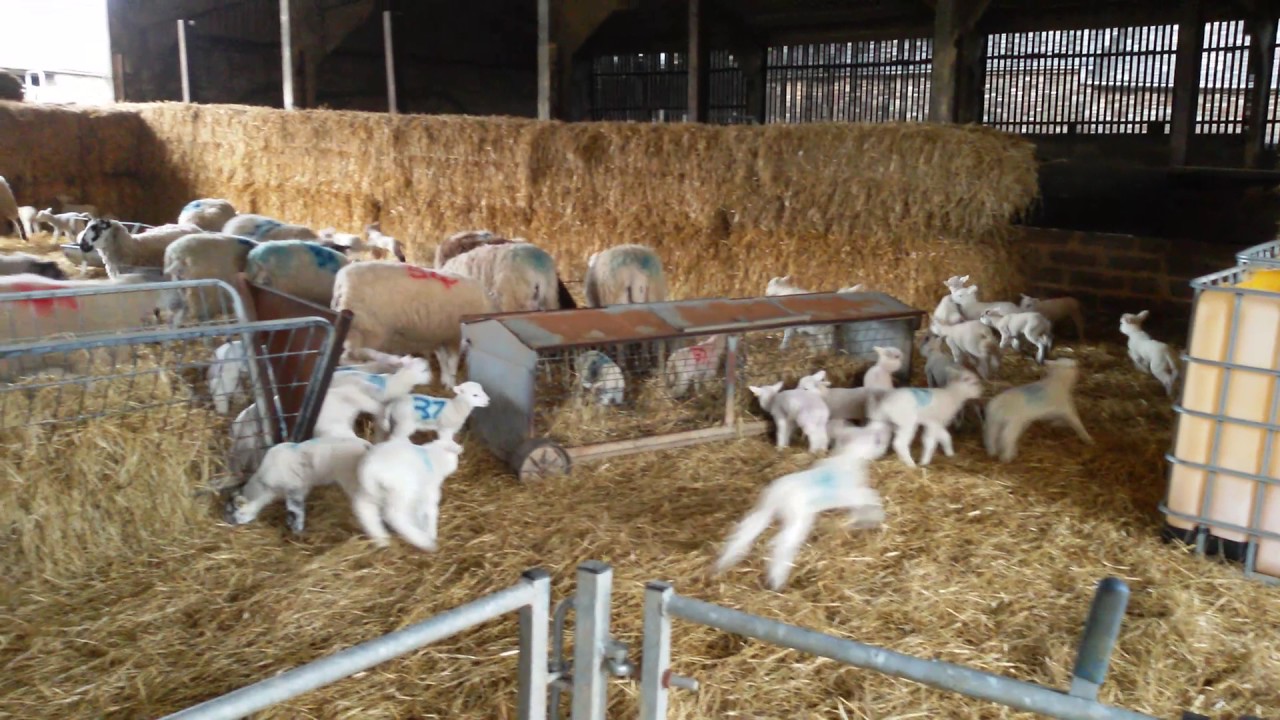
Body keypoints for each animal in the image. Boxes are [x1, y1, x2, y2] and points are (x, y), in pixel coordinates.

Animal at [224, 436, 373, 534]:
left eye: (236, 512)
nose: (228, 522)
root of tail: (367, 445)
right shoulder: (302, 486)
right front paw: (291, 522)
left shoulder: (294, 488)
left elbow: (295, 508)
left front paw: (297, 529)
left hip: (351, 479)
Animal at [331, 261, 496, 388]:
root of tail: (342, 283)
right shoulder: (454, 335)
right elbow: (452, 360)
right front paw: (451, 383)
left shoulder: (439, 334)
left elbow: (443, 359)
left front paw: (445, 379)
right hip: (368, 331)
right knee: (350, 357)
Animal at [712, 422, 890, 590]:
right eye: (878, 440)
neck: (849, 455)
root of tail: (779, 497)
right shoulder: (851, 491)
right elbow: (870, 497)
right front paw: (872, 518)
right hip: (797, 517)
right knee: (783, 542)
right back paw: (778, 579)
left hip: (763, 510)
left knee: (745, 532)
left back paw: (725, 562)